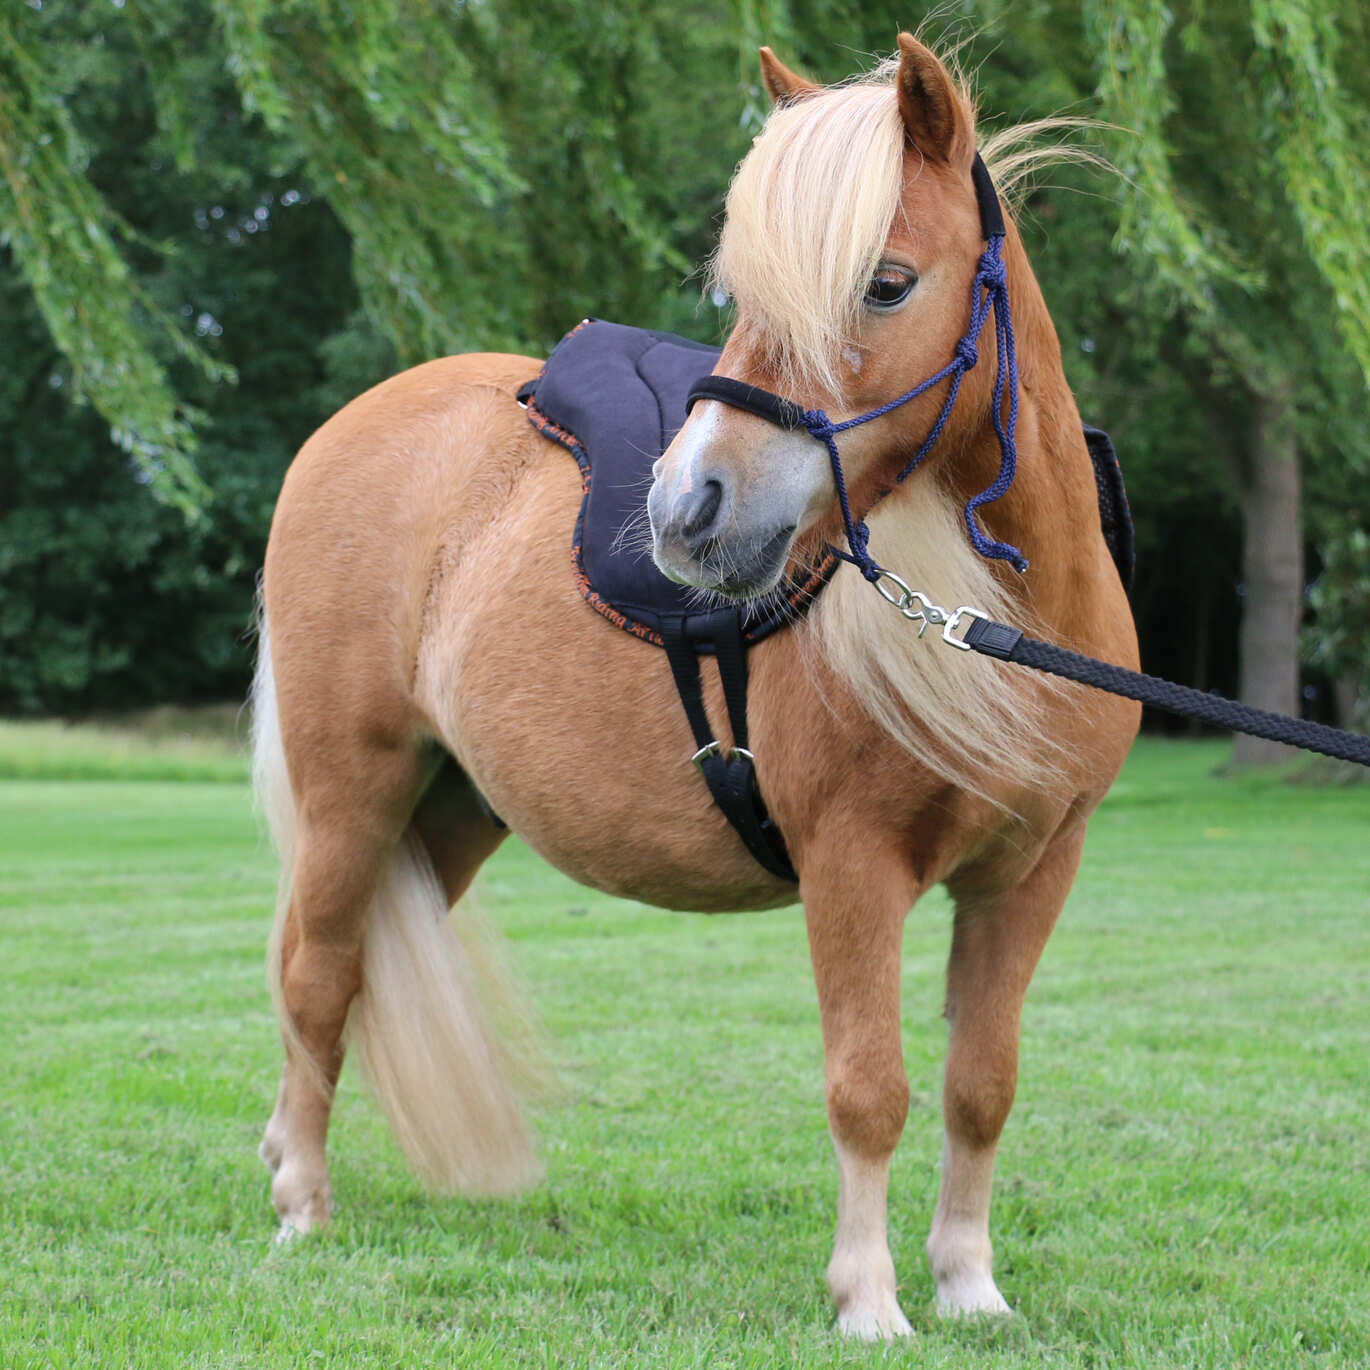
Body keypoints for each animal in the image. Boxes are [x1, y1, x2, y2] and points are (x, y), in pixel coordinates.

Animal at [250, 35, 1139, 1339]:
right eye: (736, 297)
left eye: (885, 283)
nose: (685, 511)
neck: (1002, 625)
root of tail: (349, 428)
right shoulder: (853, 866)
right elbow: (868, 1085)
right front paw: (868, 1297)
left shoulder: (1031, 872)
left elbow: (981, 1082)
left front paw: (969, 1284)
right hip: (351, 792)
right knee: (321, 976)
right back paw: (303, 1202)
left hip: (451, 809)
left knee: (332, 968)